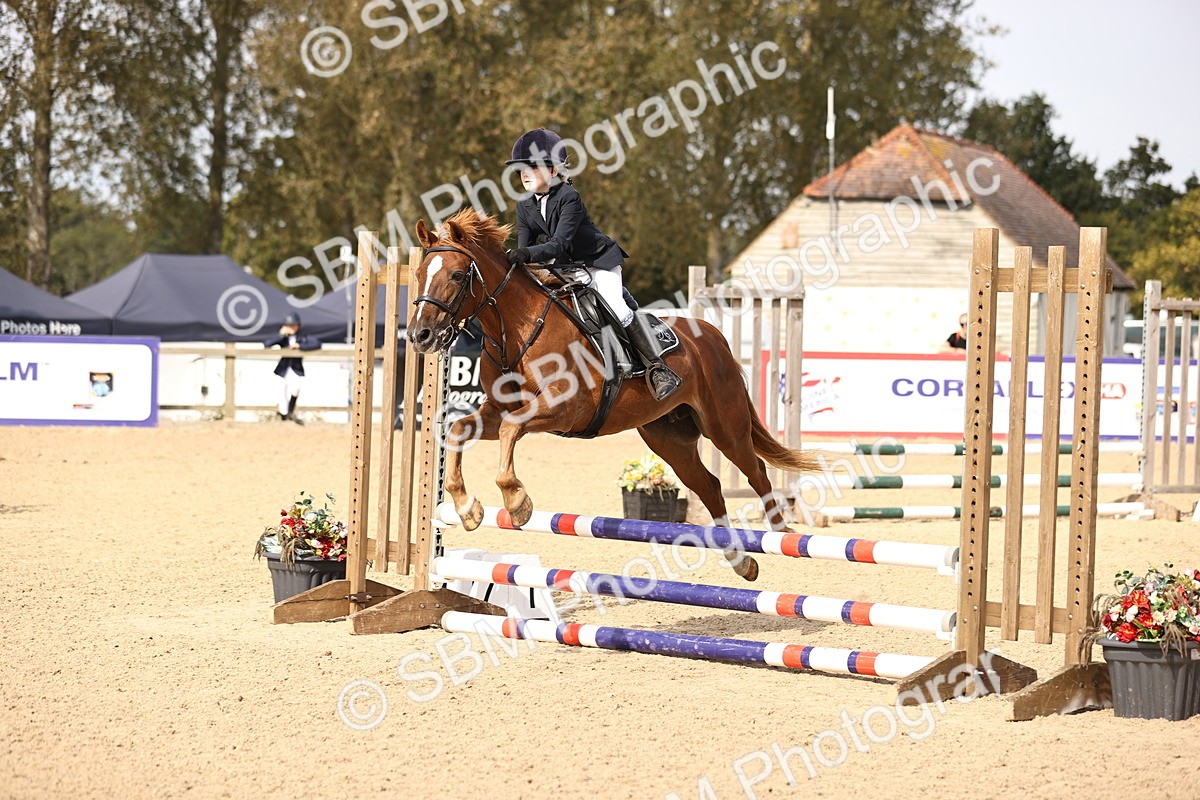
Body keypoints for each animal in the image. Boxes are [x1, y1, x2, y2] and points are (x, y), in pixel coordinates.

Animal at [406, 208, 819, 581]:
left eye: (457, 275)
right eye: (419, 275)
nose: (419, 336)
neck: (516, 330)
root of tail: (714, 336)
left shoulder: (562, 409)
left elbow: (510, 431)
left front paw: (517, 502)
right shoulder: (497, 409)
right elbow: (460, 429)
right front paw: (467, 508)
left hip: (725, 426)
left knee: (756, 471)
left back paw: (782, 536)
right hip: (669, 438)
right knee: (710, 486)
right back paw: (742, 562)